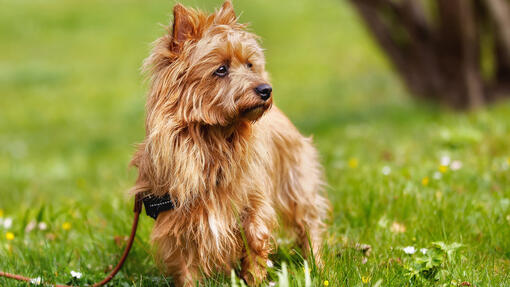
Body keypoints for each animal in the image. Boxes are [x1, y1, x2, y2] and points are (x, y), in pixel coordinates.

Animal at [130, 1, 330, 286]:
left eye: (249, 65)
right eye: (221, 69)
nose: (266, 89)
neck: (212, 138)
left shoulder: (253, 202)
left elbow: (255, 242)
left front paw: (254, 280)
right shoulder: (179, 216)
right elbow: (186, 261)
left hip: (296, 181)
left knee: (308, 224)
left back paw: (317, 265)